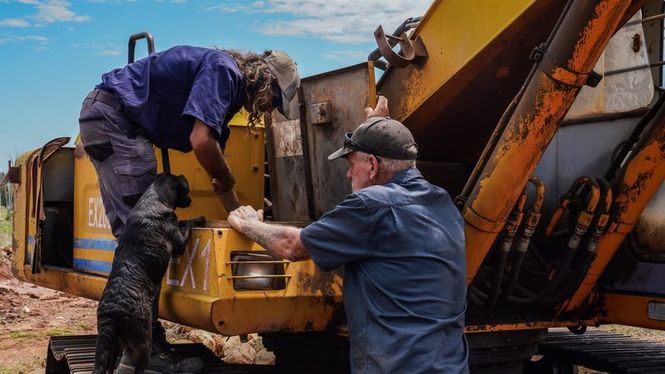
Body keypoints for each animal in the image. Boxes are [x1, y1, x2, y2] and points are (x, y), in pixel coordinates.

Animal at [92, 175, 204, 374]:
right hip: (143, 342)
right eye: (186, 191)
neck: (153, 198)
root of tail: (110, 312)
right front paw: (198, 218)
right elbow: (188, 224)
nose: (190, 201)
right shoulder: (180, 243)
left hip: (112, 345)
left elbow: (183, 223)